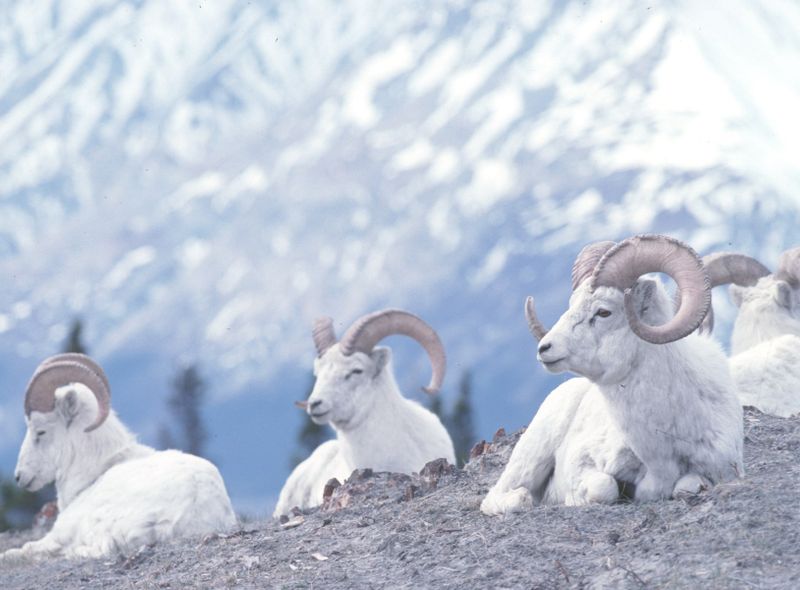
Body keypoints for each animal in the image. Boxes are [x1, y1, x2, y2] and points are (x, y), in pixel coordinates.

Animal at [482, 235, 743, 515]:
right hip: (532, 457)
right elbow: (604, 487)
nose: (545, 348)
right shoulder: (583, 463)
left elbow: (688, 486)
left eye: (604, 312)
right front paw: (574, 499)